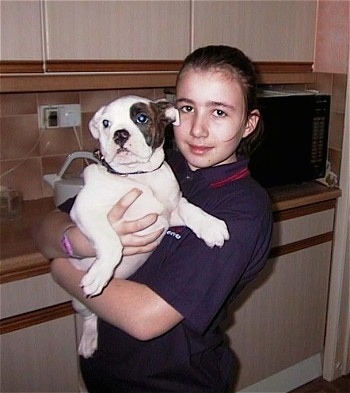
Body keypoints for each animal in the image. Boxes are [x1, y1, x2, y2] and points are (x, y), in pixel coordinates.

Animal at [69, 94, 230, 356]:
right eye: (105, 123)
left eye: (141, 118)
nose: (120, 134)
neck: (139, 175)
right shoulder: (85, 210)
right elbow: (111, 243)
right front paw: (100, 273)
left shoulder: (169, 212)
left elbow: (191, 208)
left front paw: (210, 226)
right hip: (77, 300)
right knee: (89, 316)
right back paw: (88, 340)